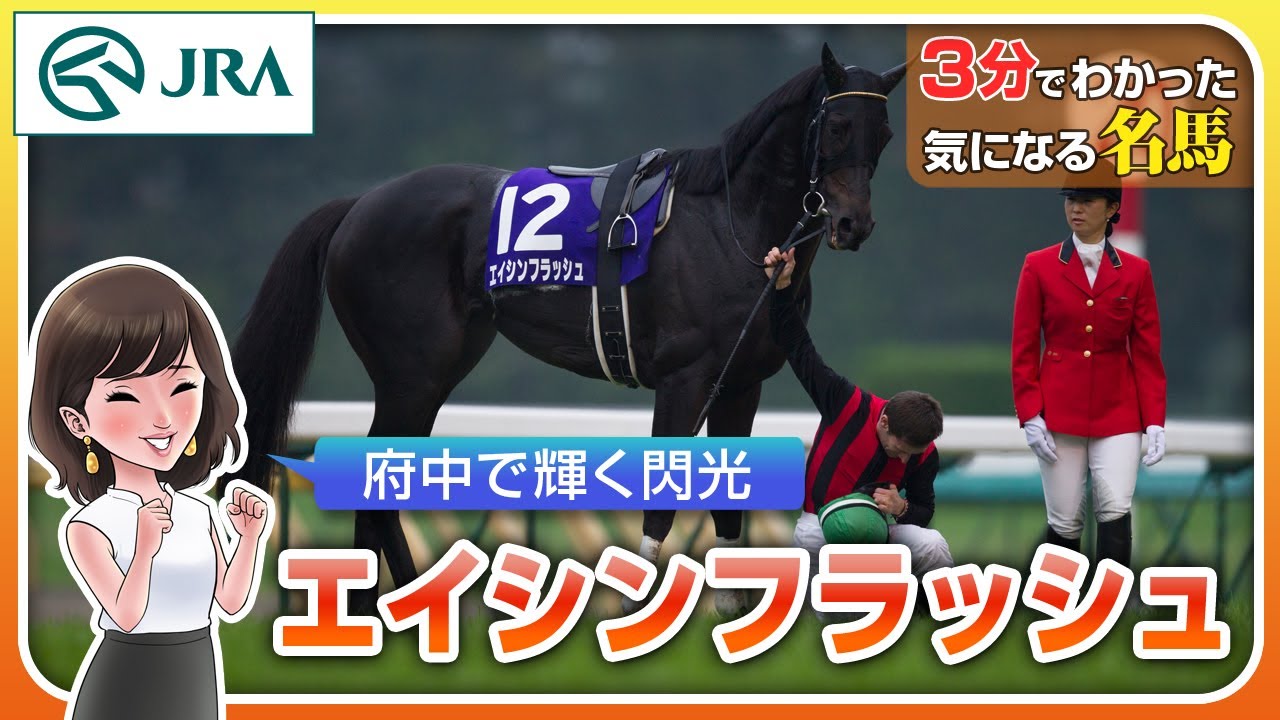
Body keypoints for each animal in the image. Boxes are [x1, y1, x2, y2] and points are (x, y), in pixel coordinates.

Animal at [231, 44, 906, 614]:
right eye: (838, 127)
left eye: (884, 134)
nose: (853, 224)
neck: (731, 225)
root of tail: (358, 205)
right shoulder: (684, 380)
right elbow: (661, 506)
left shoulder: (741, 385)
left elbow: (728, 506)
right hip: (410, 378)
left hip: (431, 375)